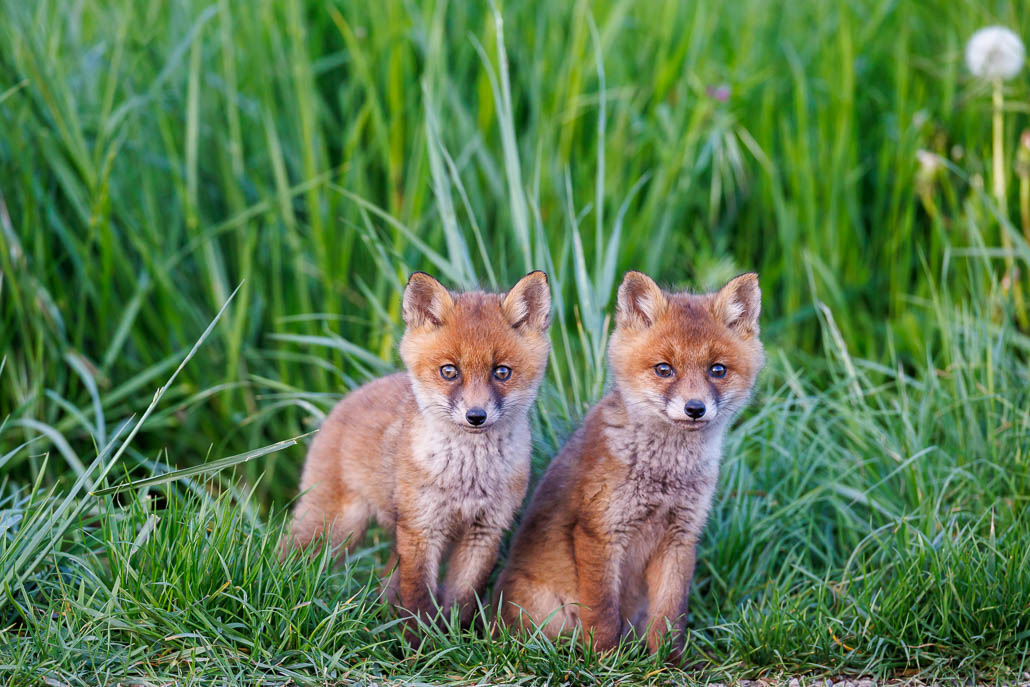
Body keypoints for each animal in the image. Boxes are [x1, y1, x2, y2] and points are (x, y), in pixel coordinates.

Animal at [284, 270, 551, 630]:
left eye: (502, 372)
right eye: (449, 371)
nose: (476, 416)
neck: (467, 477)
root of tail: (349, 396)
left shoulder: (485, 531)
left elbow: (461, 597)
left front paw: (453, 637)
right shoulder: (421, 529)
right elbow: (418, 598)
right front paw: (419, 640)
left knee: (384, 583)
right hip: (334, 527)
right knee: (290, 555)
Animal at [495, 270, 763, 655]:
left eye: (717, 370)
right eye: (664, 369)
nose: (695, 408)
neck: (665, 476)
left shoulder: (681, 537)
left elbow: (670, 615)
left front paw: (668, 662)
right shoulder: (599, 531)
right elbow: (603, 612)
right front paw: (605, 660)